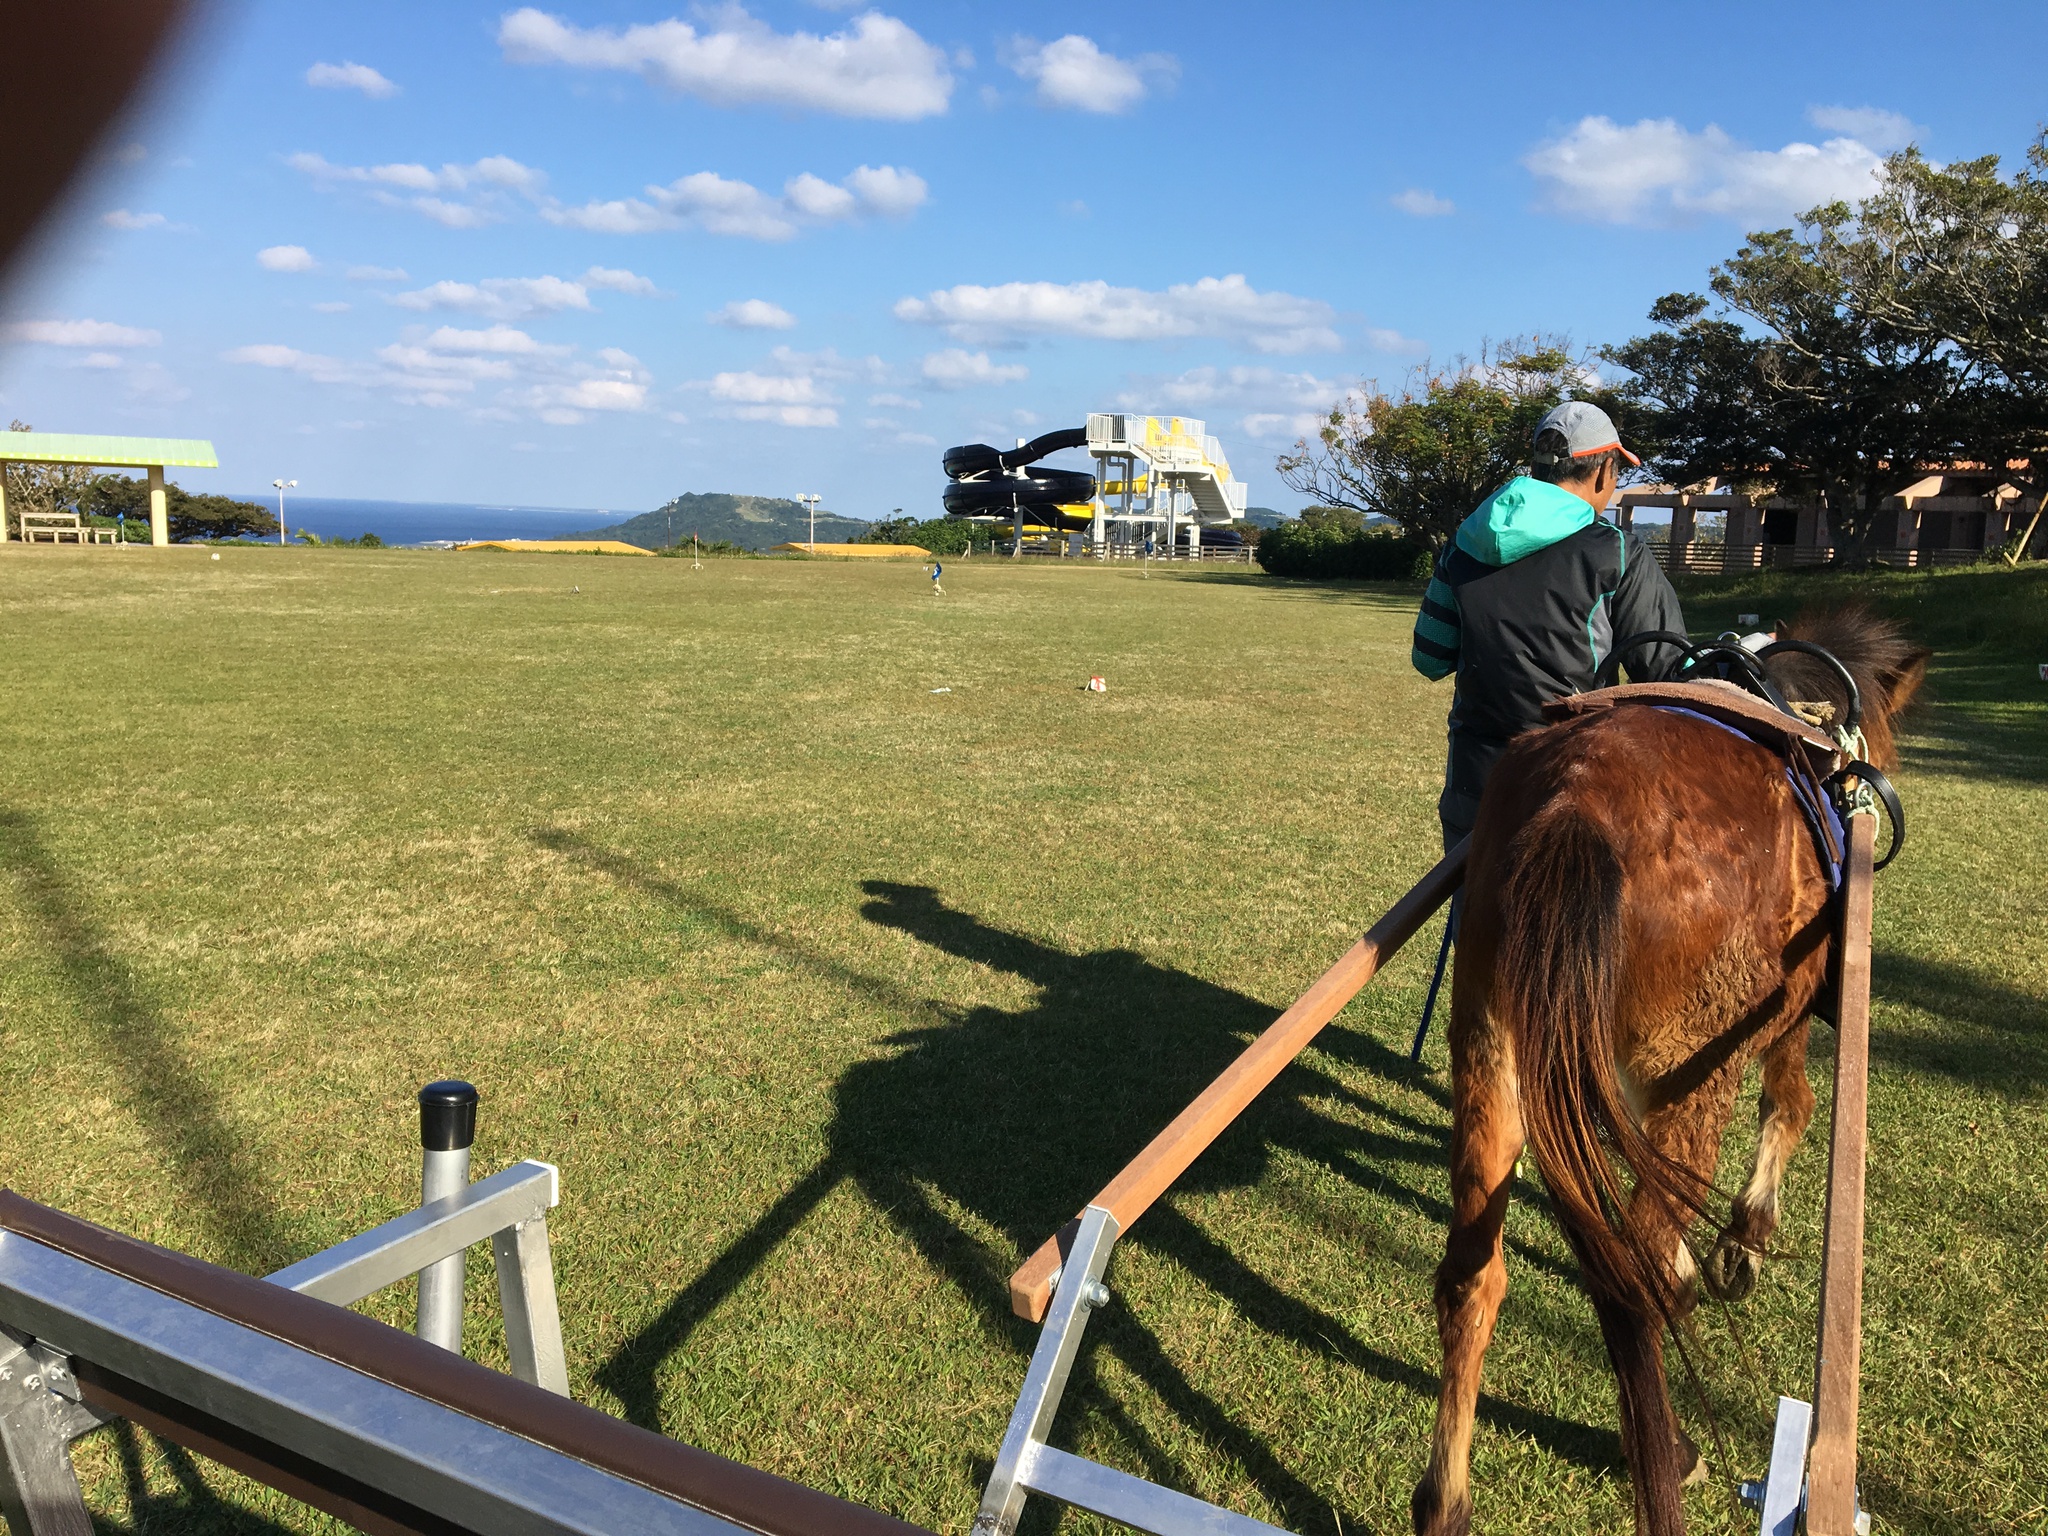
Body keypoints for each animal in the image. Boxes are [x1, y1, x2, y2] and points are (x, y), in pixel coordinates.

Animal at [1417, 614, 1925, 1536]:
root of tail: (1576, 803)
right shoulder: (1784, 1018)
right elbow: (1791, 1105)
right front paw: (1742, 1243)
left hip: (1489, 1049)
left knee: (1472, 1275)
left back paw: (1444, 1499)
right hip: (1690, 1079)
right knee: (1641, 1267)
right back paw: (1674, 1443)